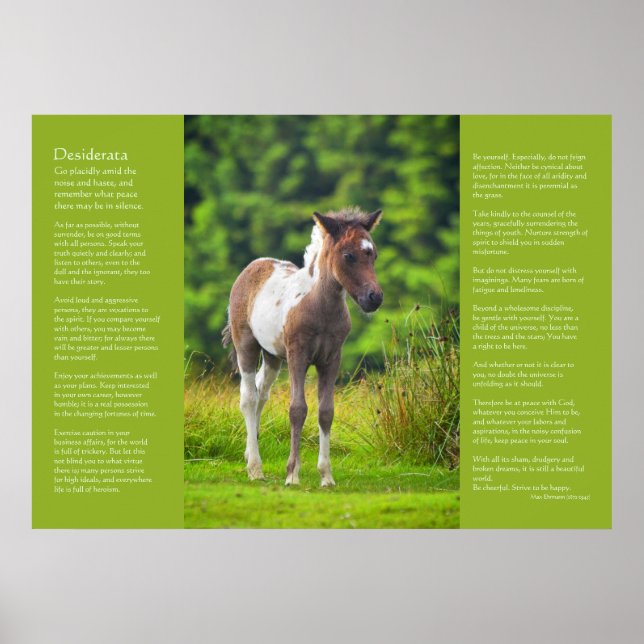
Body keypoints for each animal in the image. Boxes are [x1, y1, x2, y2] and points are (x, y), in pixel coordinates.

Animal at [222, 207, 384, 486]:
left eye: (372, 253)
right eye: (348, 255)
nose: (374, 298)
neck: (320, 307)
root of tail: (253, 266)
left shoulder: (331, 359)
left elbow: (326, 411)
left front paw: (326, 476)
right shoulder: (298, 356)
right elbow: (298, 409)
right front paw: (292, 475)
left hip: (273, 356)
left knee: (261, 393)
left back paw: (249, 453)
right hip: (246, 346)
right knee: (249, 398)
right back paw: (255, 468)